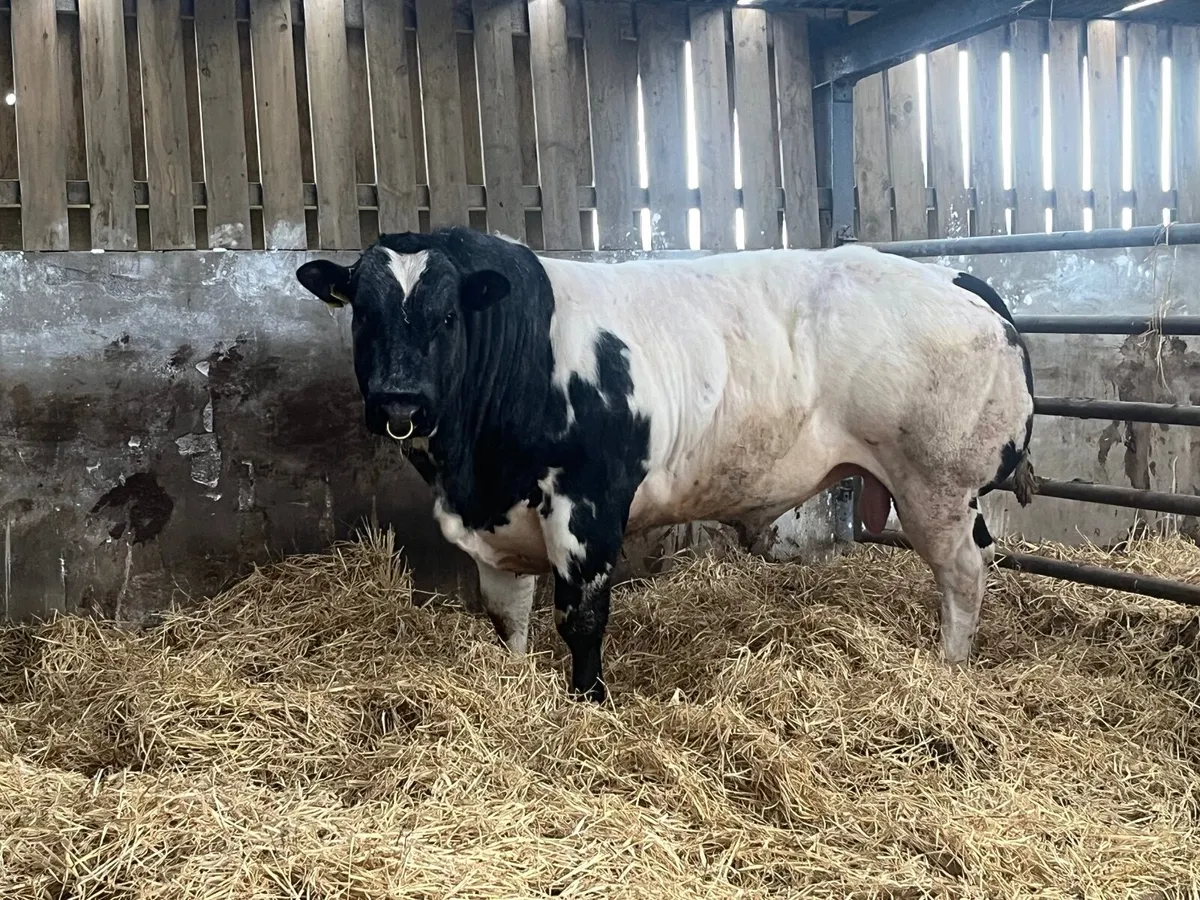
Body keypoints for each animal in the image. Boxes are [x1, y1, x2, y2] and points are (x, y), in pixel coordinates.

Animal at [296, 227, 1036, 703]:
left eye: (447, 316)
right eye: (363, 314)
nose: (400, 400)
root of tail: (951, 275)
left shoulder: (589, 505)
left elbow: (580, 618)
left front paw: (589, 702)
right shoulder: (494, 524)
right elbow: (507, 618)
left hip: (938, 484)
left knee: (964, 575)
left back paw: (950, 667)